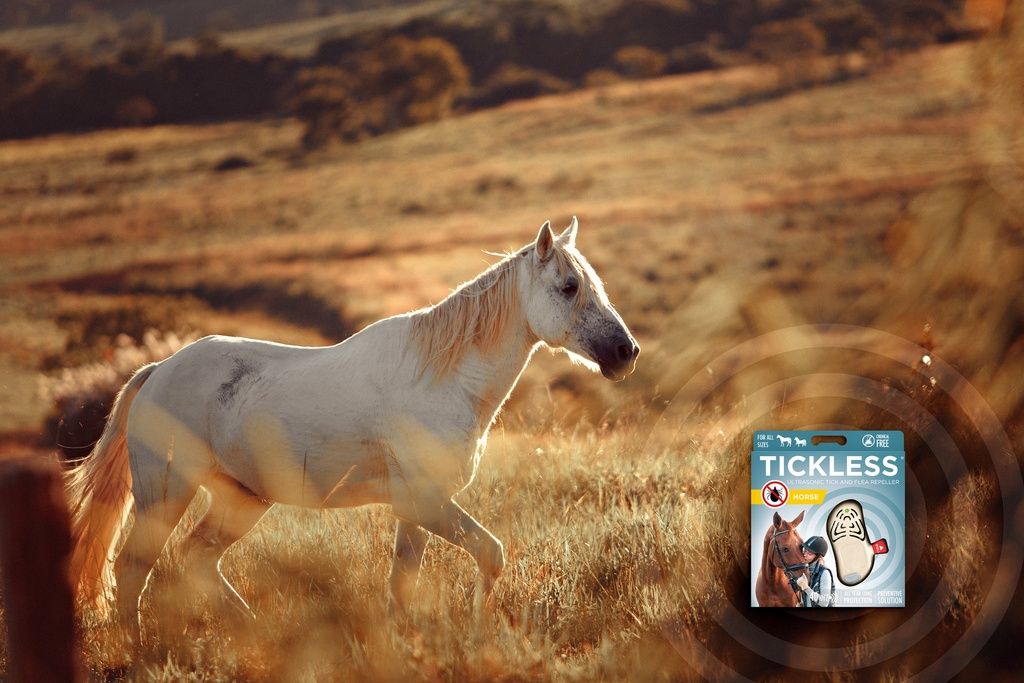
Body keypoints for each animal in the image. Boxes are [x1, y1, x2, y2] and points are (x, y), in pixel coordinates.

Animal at [65, 217, 640, 640]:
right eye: (569, 286)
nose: (625, 353)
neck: (442, 379)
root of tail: (157, 372)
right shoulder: (426, 502)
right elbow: (491, 555)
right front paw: (479, 629)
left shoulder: (415, 510)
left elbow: (402, 584)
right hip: (165, 493)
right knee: (134, 570)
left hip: (241, 500)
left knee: (196, 561)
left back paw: (256, 633)